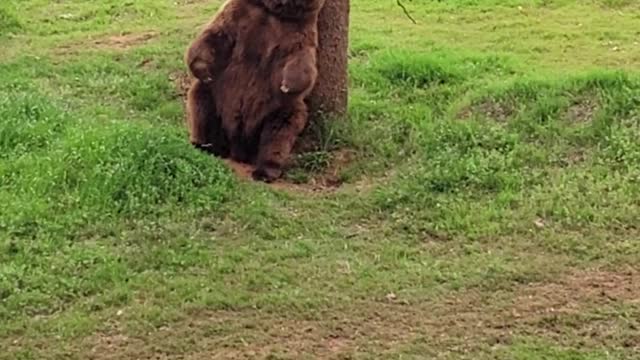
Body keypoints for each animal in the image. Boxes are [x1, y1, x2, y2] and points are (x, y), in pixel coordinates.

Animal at [185, 0, 324, 181]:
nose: (285, 87)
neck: (273, 11)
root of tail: (238, 148)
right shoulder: (240, 13)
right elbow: (216, 34)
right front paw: (203, 69)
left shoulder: (299, 27)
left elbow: (301, 56)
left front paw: (287, 85)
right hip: (217, 95)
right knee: (203, 104)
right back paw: (205, 145)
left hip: (276, 108)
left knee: (280, 129)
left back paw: (266, 169)